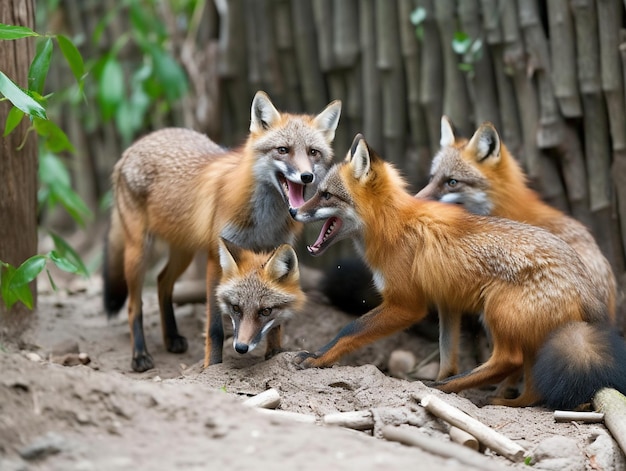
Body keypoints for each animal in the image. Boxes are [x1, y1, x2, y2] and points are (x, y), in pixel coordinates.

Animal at [103, 91, 342, 372]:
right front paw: (212, 366)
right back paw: (140, 355)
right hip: (139, 252)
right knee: (134, 305)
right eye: (283, 150)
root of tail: (133, 147)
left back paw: (171, 337)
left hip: (182, 252)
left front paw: (274, 355)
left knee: (163, 283)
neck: (264, 223)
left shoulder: (277, 254)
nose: (306, 176)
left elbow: (276, 319)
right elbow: (215, 327)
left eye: (313, 152)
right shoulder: (217, 260)